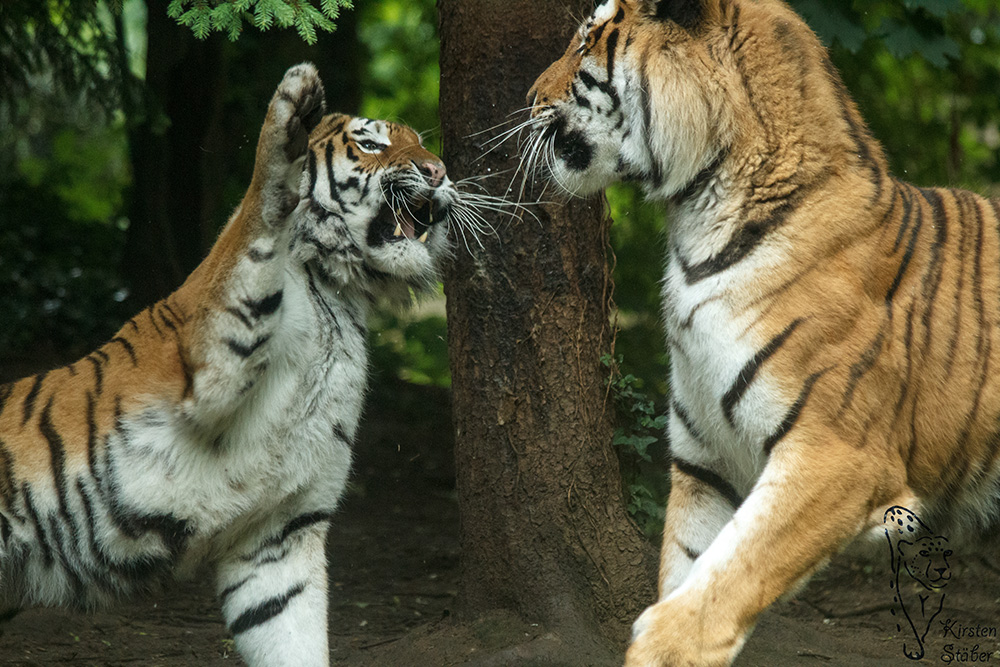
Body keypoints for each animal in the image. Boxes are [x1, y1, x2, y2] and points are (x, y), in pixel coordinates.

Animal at [0, 64, 458, 667]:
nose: (439, 171)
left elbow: (292, 636)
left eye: (424, 145)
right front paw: (291, 108)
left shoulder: (279, 536)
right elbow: (254, 221)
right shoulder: (208, 354)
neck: (336, 292)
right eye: (372, 142)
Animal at [520, 0, 1000, 664]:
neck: (695, 226)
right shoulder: (706, 463)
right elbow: (691, 567)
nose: (528, 98)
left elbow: (724, 581)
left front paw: (662, 642)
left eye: (588, 40)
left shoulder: (836, 456)